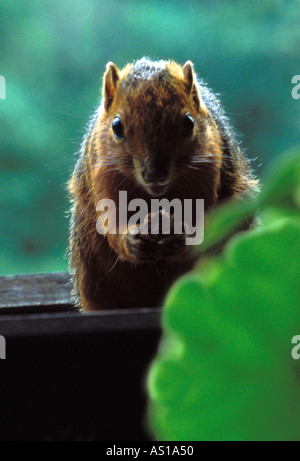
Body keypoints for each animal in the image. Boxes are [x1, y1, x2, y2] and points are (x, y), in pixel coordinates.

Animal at [68, 56, 258, 310]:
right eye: (116, 126)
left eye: (188, 123)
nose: (154, 173)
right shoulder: (103, 176)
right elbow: (110, 221)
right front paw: (130, 238)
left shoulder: (208, 173)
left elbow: (209, 219)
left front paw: (183, 236)